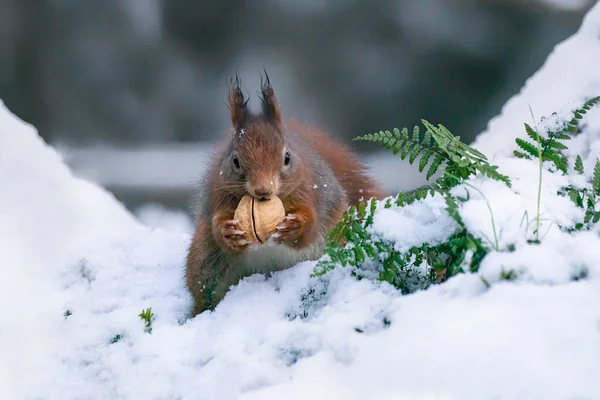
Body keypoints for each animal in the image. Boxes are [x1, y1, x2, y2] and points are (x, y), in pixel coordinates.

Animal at [185, 74, 384, 316]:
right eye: (235, 161)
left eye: (287, 157)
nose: (263, 190)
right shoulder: (218, 196)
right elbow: (217, 223)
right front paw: (229, 232)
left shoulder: (309, 192)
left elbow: (311, 225)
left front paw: (295, 226)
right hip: (204, 262)